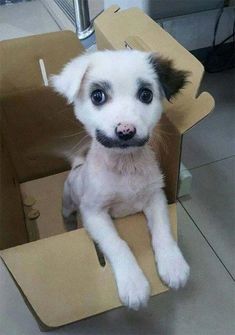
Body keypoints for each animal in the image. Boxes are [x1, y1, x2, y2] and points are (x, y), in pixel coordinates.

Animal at [52, 50, 190, 312]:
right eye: (97, 96)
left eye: (146, 94)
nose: (126, 131)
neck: (125, 167)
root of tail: (77, 165)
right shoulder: (93, 213)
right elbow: (117, 243)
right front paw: (133, 283)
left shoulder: (155, 197)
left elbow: (163, 230)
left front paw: (173, 263)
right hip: (67, 201)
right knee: (67, 215)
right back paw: (69, 225)